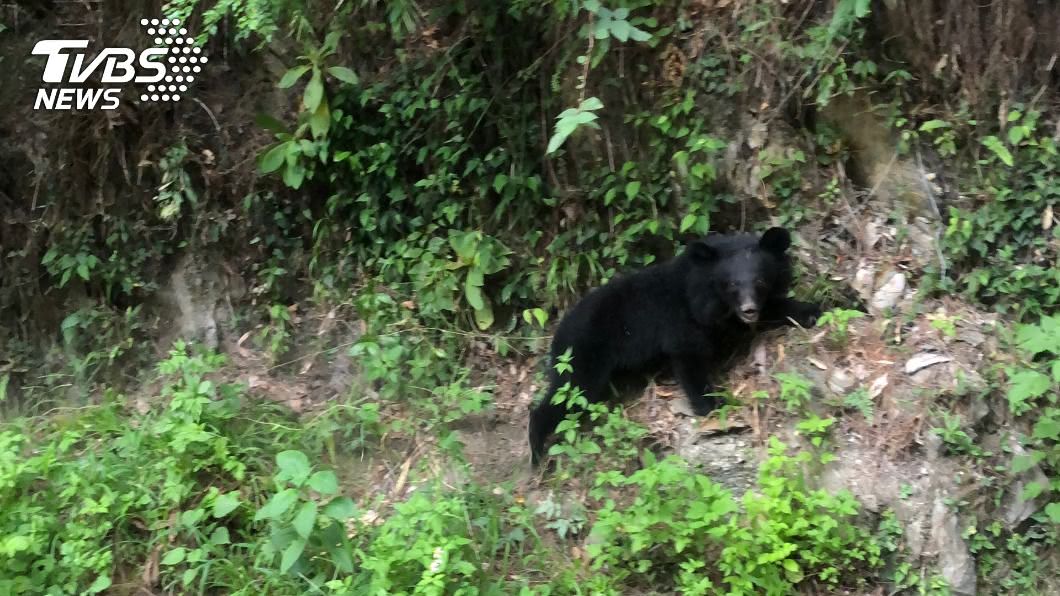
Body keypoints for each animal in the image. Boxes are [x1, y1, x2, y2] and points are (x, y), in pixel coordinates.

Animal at [528, 226, 821, 465]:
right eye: (731, 284)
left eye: (760, 281)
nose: (749, 309)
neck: (707, 294)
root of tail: (557, 335)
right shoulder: (684, 318)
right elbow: (689, 358)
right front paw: (712, 405)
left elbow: (773, 307)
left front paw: (811, 311)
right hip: (583, 356)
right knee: (567, 393)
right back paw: (537, 452)